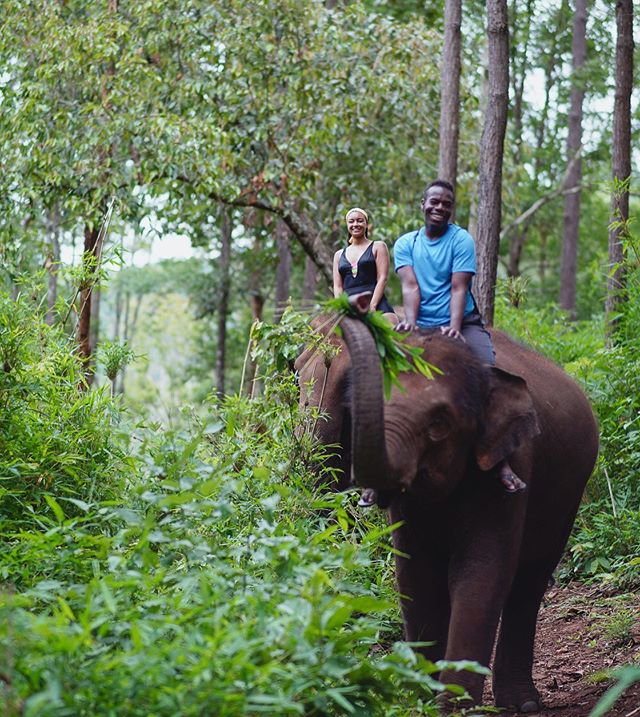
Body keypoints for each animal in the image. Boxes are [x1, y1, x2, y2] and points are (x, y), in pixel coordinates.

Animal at [296, 302, 600, 712]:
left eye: (439, 424)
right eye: (295, 374)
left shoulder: (513, 463)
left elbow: (479, 574)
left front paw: (454, 707)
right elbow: (416, 576)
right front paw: (419, 698)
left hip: (568, 491)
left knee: (530, 580)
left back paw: (522, 704)